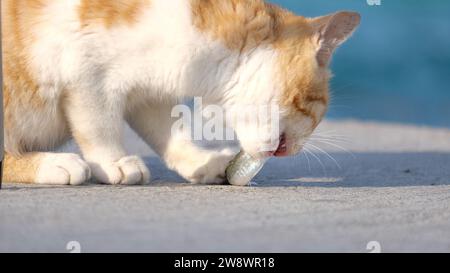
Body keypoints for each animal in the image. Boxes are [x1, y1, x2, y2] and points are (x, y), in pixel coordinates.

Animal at [0, 0, 358, 185]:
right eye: (317, 107)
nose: (297, 149)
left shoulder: (148, 95)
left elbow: (169, 132)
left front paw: (200, 161)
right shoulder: (85, 71)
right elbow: (97, 124)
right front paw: (113, 161)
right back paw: (53, 164)